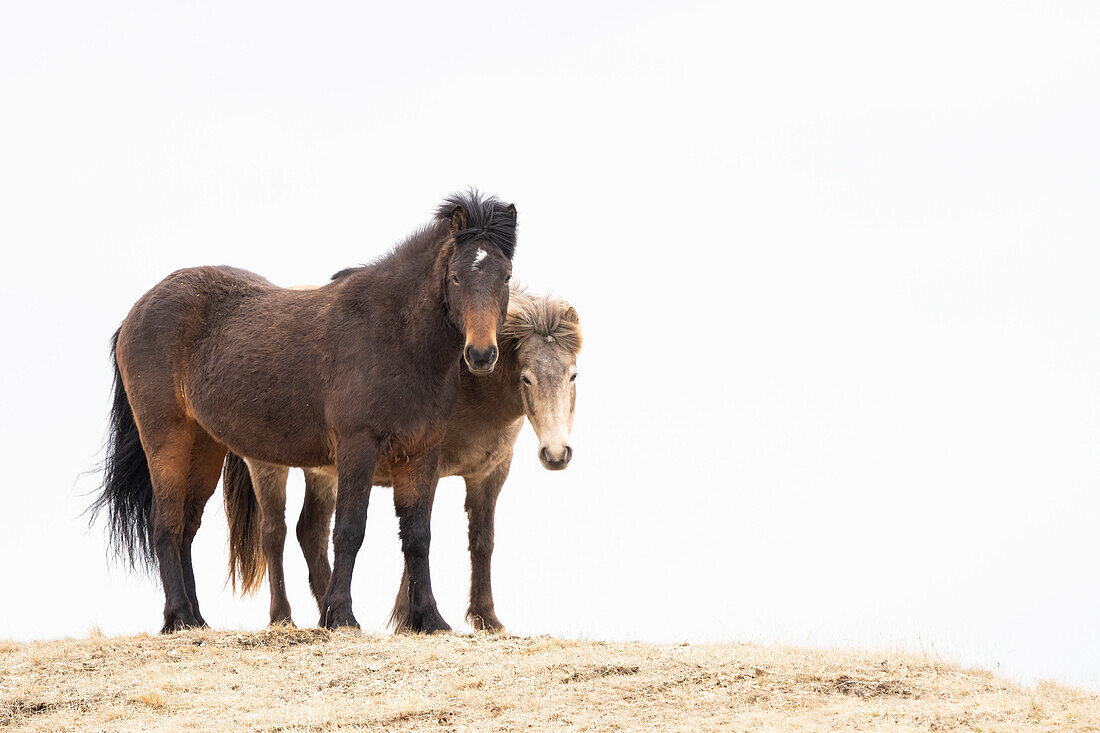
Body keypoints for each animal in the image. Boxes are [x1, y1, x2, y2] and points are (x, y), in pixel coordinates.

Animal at [89, 191, 514, 629]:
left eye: (506, 277)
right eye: (457, 277)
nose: (481, 354)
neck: (395, 336)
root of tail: (135, 313)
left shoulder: (420, 454)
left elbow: (417, 536)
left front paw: (430, 619)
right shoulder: (357, 447)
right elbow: (349, 530)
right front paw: (341, 615)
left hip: (204, 446)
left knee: (187, 527)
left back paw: (197, 617)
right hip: (166, 438)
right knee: (166, 524)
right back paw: (178, 618)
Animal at [223, 286, 585, 629]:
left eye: (572, 375)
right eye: (526, 378)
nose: (556, 453)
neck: (471, 387)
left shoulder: (490, 474)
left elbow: (482, 541)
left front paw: (487, 619)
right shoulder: (425, 465)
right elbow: (417, 533)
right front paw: (411, 617)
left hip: (324, 474)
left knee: (310, 532)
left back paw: (329, 610)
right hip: (268, 466)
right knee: (274, 533)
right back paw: (283, 617)